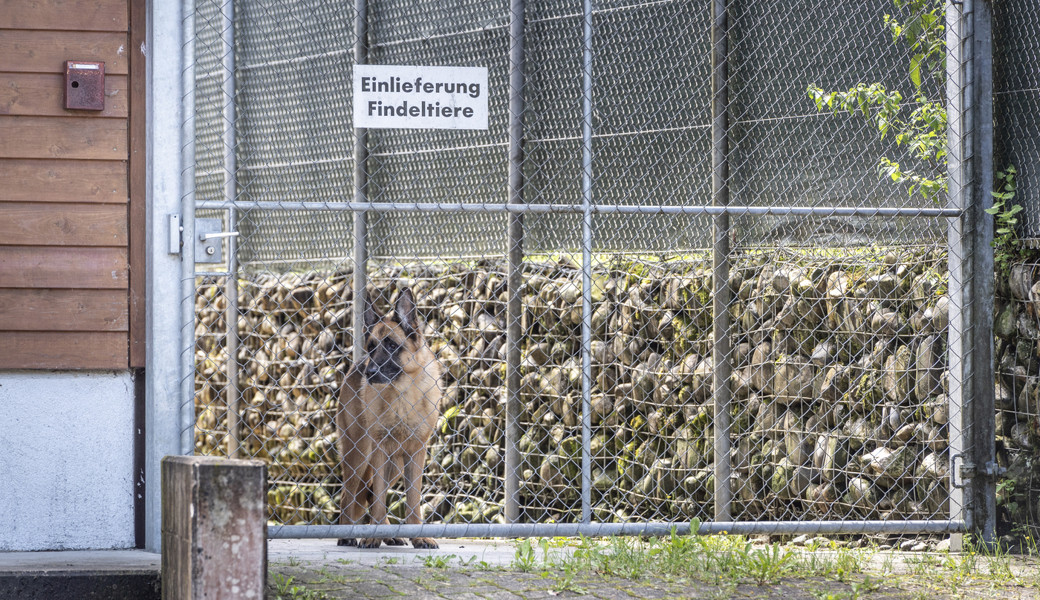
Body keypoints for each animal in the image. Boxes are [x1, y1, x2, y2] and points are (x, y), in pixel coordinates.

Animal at [334, 284, 440, 549]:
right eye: (371, 347)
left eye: (392, 346)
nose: (370, 372)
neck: (403, 394)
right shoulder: (380, 449)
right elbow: (381, 498)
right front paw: (373, 536)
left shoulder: (416, 452)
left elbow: (412, 500)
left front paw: (419, 536)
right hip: (359, 455)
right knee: (350, 495)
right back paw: (347, 534)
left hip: (395, 465)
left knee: (371, 492)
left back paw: (389, 533)